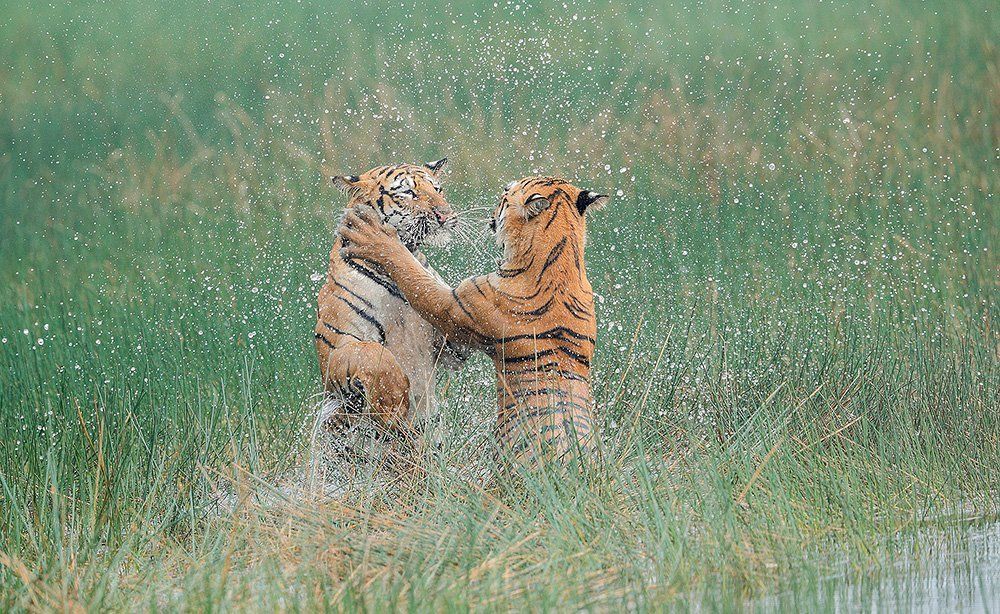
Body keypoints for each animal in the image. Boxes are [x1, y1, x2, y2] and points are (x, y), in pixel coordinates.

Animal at [314, 159, 467, 458]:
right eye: (407, 192)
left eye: (438, 189)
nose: (445, 215)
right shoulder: (337, 346)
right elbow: (374, 355)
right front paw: (392, 403)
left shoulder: (450, 349)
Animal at [338, 176, 608, 469]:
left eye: (506, 194)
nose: (501, 191)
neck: (563, 248)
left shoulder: (451, 305)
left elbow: (411, 272)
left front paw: (372, 236)